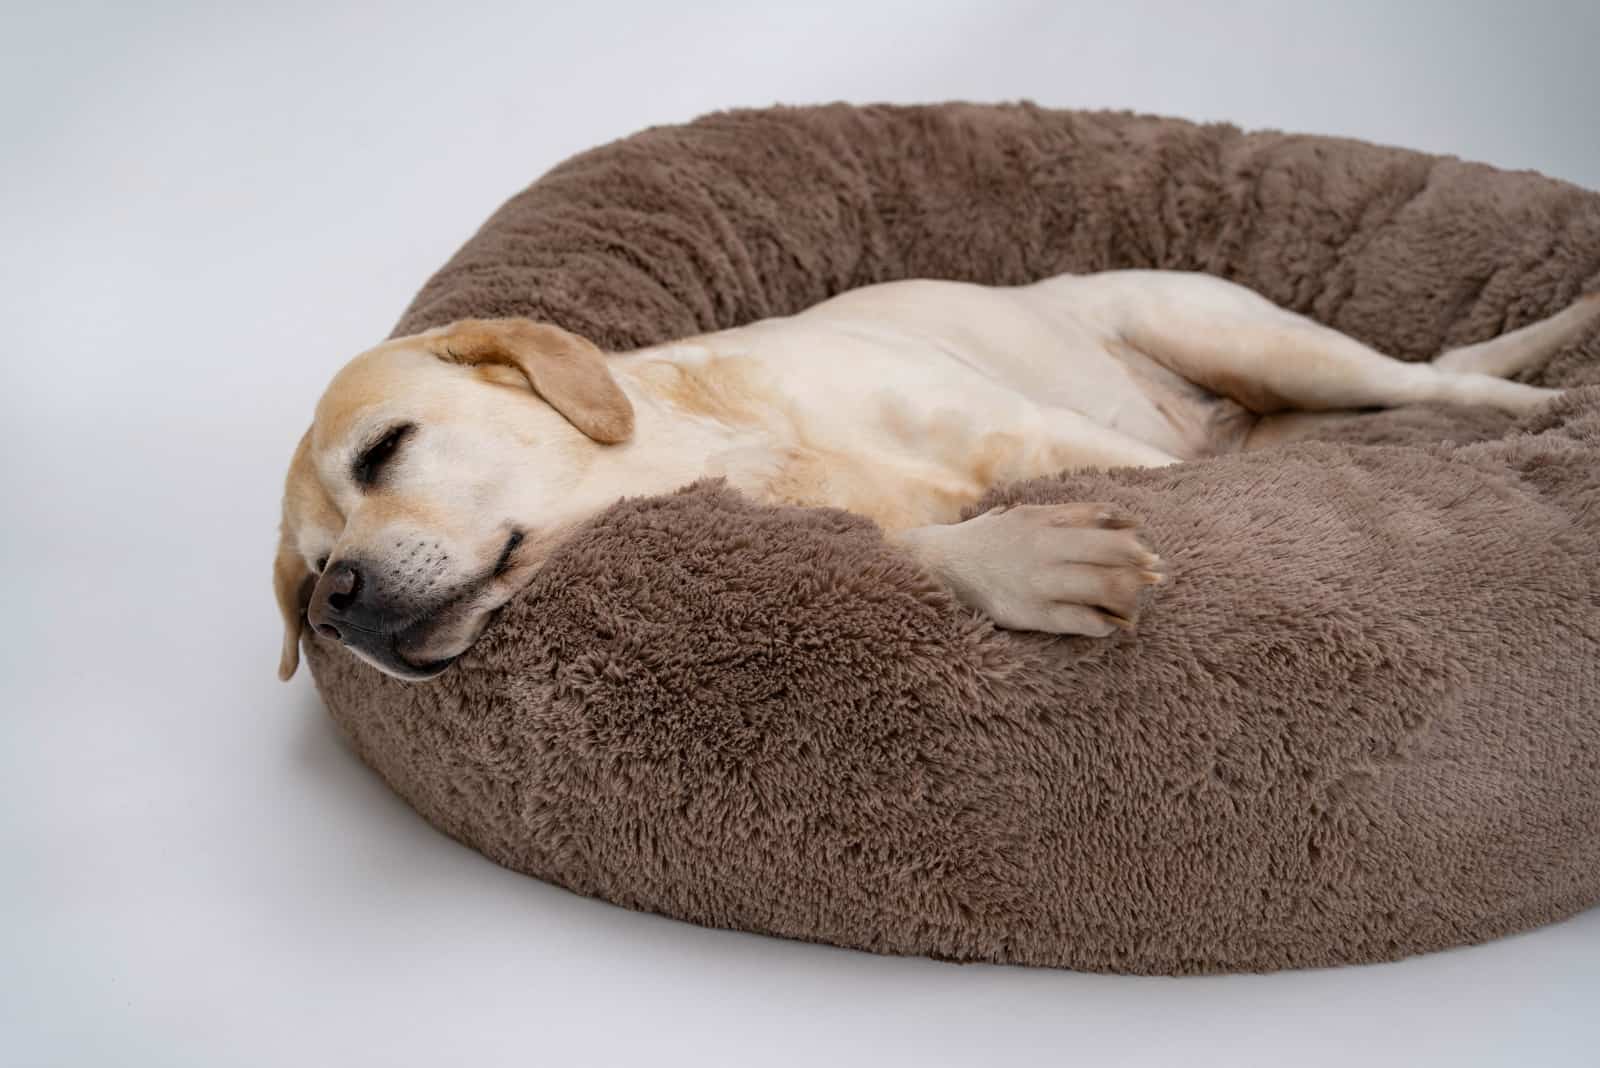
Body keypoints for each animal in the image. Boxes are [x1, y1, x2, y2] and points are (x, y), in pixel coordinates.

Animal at [268, 271, 1593, 681]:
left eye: (383, 450)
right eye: (306, 571)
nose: (334, 603)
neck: (747, 441)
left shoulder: (1040, 435)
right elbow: (932, 544)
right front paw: (1025, 557)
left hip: (1249, 339)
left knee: (1439, 380)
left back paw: (1537, 393)